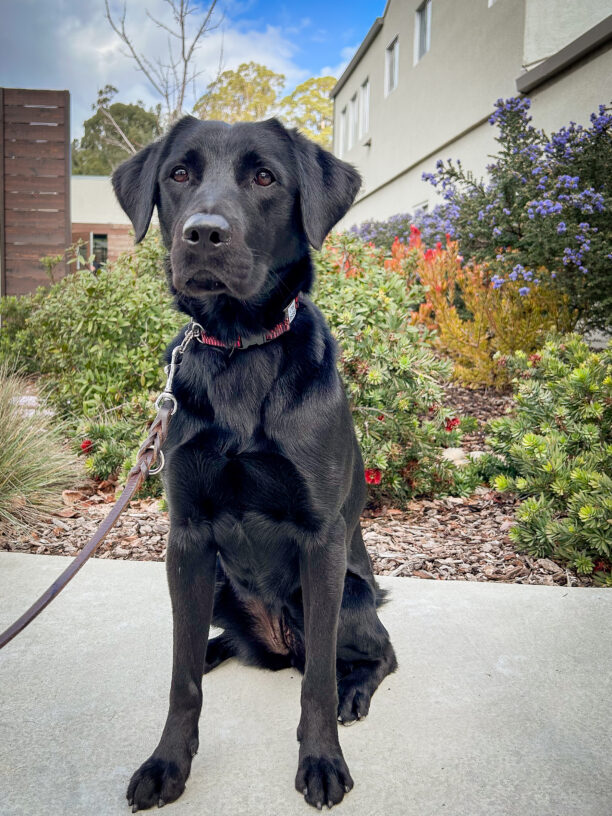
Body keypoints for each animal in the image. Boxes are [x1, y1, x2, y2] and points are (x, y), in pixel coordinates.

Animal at [113, 115, 400, 808]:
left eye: (265, 177)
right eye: (178, 174)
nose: (203, 234)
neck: (240, 349)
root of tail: (275, 642)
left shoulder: (321, 542)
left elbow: (318, 681)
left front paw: (322, 760)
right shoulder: (186, 539)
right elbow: (180, 676)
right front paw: (168, 763)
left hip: (349, 597)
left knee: (373, 654)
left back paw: (356, 688)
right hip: (216, 583)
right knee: (204, 641)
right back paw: (217, 649)